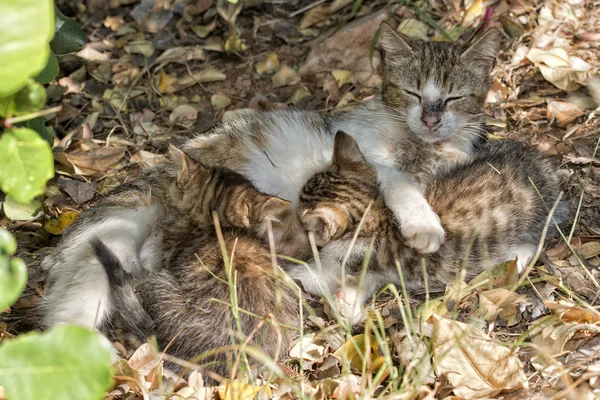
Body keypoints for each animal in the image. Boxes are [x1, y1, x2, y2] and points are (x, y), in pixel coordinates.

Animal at [41, 22, 502, 332]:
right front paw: (424, 226)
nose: (431, 118)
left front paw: (350, 296)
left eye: (455, 97)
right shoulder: (369, 159)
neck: (419, 146)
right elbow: (398, 184)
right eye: (412, 93)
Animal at [290, 131, 572, 322]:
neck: (376, 214)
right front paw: (347, 305)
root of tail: (542, 165)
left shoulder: (353, 260)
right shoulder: (377, 273)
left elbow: (315, 276)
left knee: (535, 242)